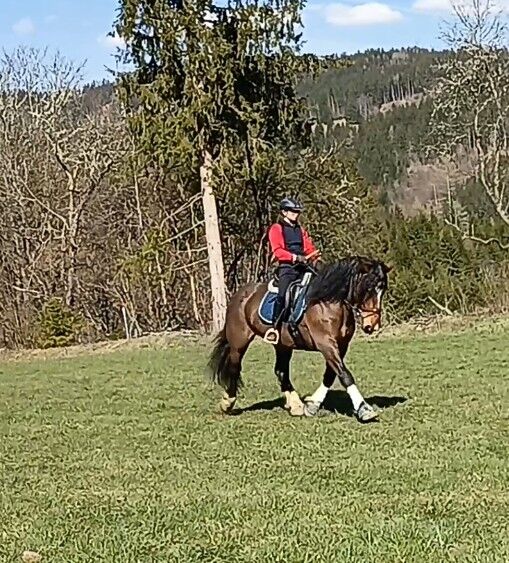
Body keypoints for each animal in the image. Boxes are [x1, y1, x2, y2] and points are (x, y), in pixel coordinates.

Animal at [206, 258, 388, 420]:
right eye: (369, 288)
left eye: (383, 290)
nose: (372, 326)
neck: (329, 301)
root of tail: (239, 295)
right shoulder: (326, 343)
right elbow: (344, 374)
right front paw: (364, 409)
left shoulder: (341, 345)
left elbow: (331, 374)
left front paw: (312, 405)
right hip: (239, 341)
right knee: (235, 367)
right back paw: (227, 403)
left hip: (282, 344)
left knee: (280, 371)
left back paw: (295, 405)